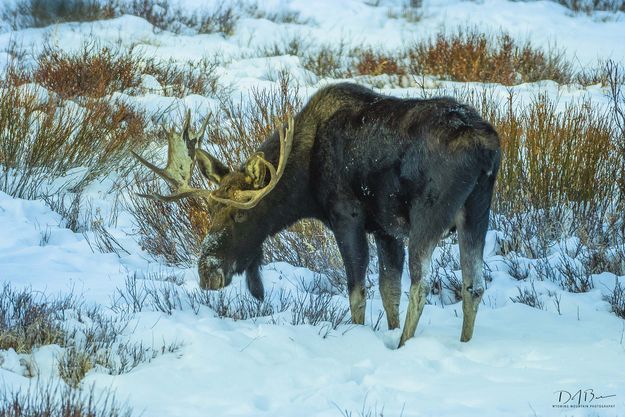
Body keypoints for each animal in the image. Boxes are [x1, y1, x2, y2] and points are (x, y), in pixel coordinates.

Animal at [134, 82, 500, 344]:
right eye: (211, 209)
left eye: (242, 215)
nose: (207, 272)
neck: (304, 182)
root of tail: (485, 148)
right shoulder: (386, 229)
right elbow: (388, 292)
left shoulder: (347, 217)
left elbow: (357, 293)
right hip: (476, 212)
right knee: (474, 285)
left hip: (429, 214)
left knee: (422, 286)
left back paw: (405, 346)